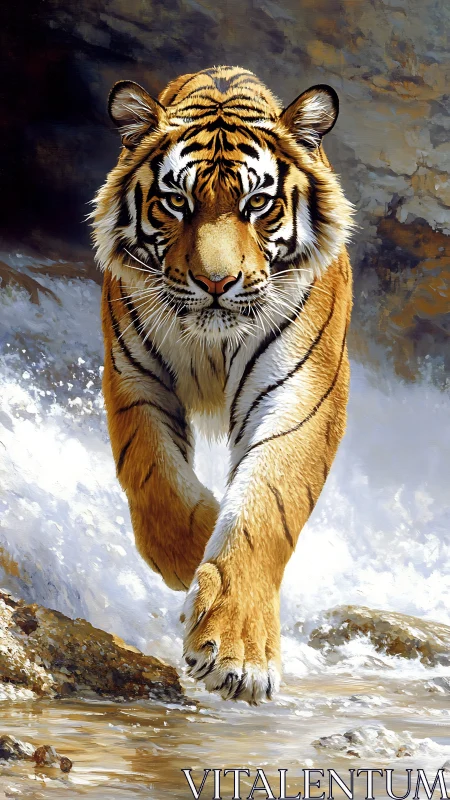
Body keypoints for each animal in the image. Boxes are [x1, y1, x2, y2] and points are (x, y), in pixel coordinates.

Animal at [92, 65, 354, 705]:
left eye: (257, 203)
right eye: (176, 202)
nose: (216, 282)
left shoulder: (300, 392)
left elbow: (267, 504)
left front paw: (237, 655)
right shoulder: (135, 375)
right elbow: (154, 478)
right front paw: (192, 558)